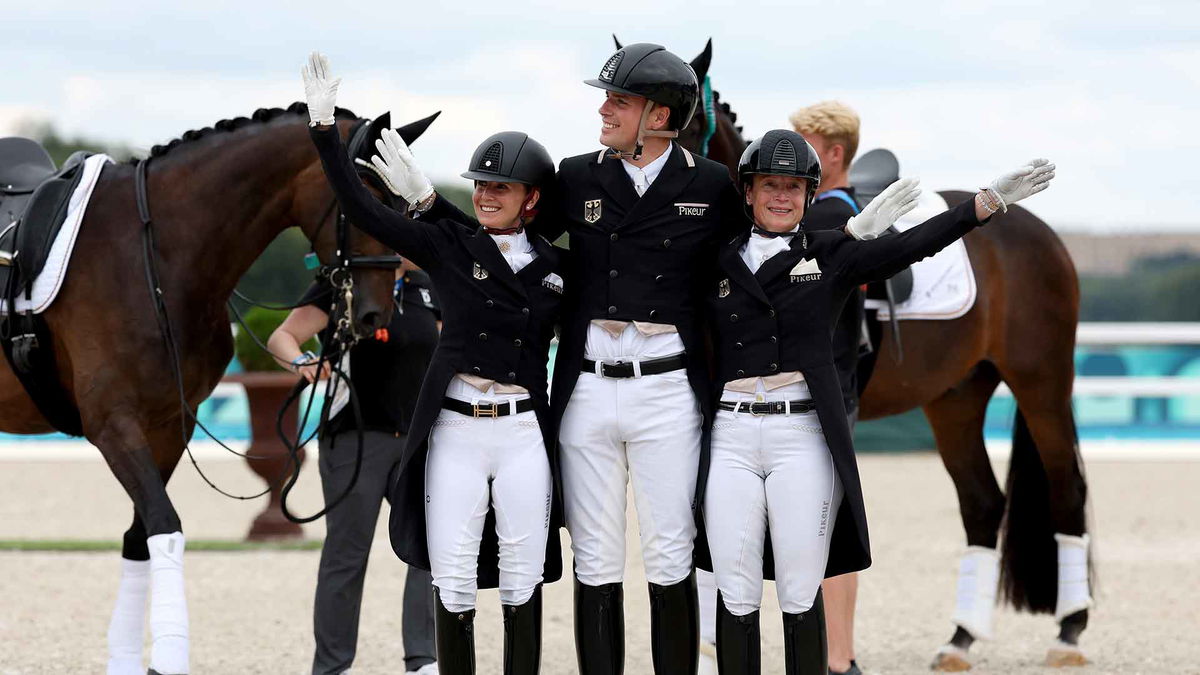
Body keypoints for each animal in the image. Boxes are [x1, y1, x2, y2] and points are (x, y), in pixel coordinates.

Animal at [0, 102, 432, 667]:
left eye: (404, 203)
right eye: (369, 198)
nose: (376, 313)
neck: (154, 257)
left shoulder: (168, 425)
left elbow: (139, 536)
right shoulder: (113, 425)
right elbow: (164, 527)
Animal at [672, 40, 1094, 667]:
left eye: (685, 124)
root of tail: (1040, 235)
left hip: (1040, 381)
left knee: (1067, 491)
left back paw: (1069, 630)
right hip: (956, 398)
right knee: (982, 504)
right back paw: (959, 639)